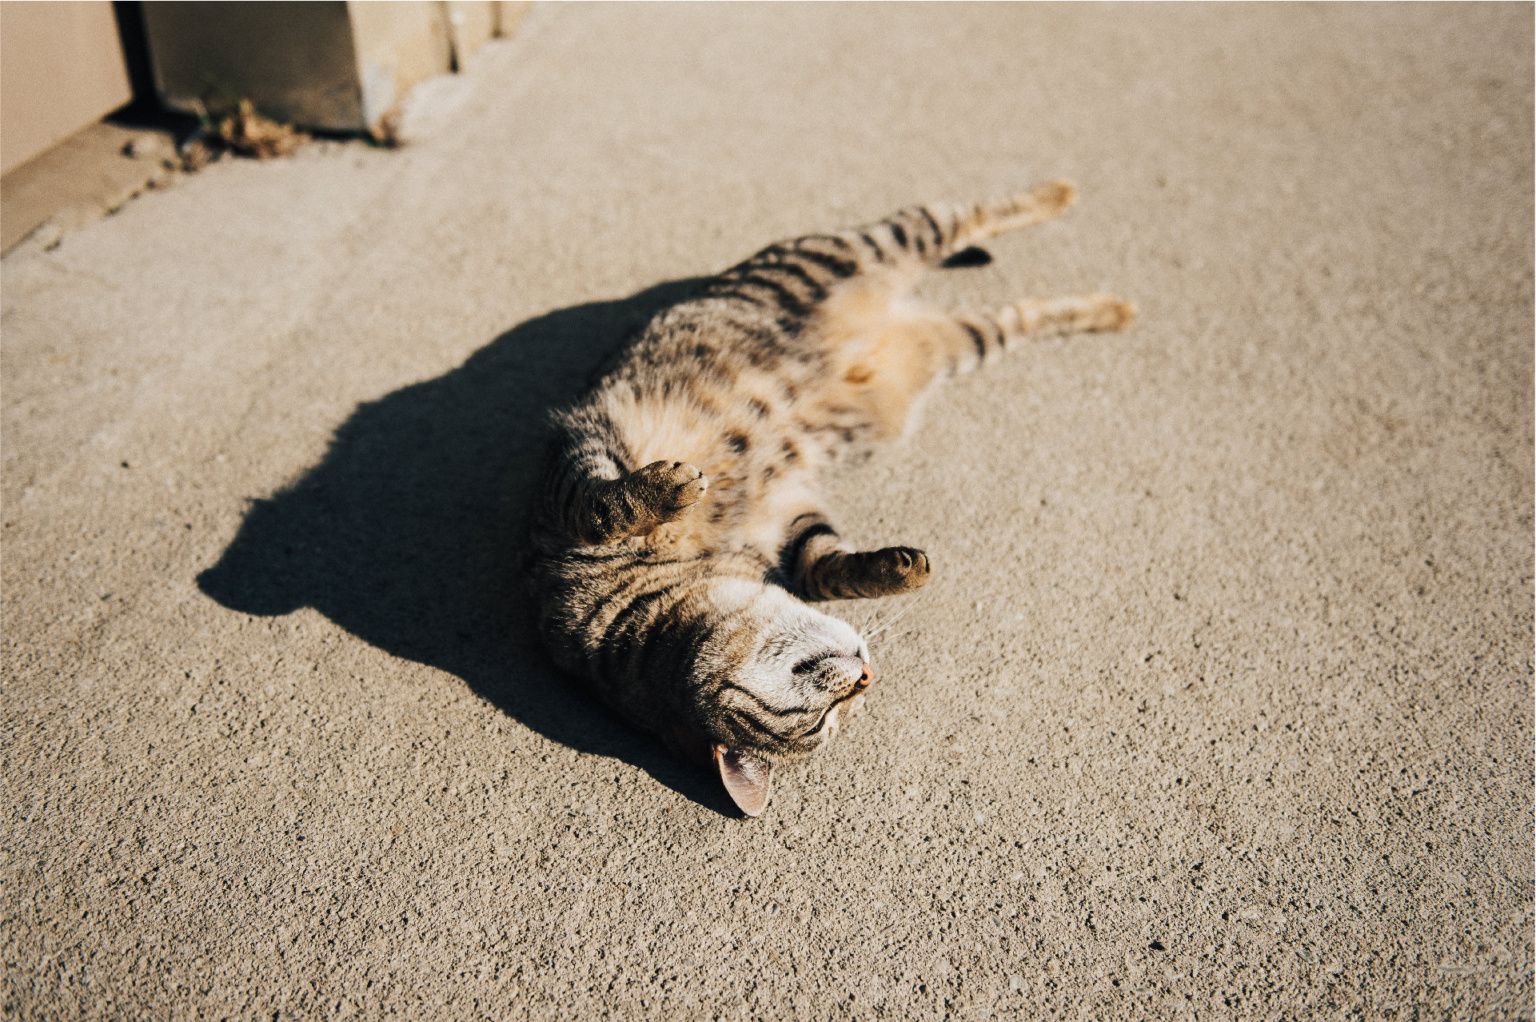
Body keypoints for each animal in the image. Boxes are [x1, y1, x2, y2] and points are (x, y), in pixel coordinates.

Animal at [527, 181, 1133, 816]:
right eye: (826, 719)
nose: (868, 676)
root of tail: (895, 314)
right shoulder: (790, 517)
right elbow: (828, 565)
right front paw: (896, 569)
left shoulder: (575, 471)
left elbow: (609, 504)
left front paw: (670, 486)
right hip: (962, 340)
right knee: (1020, 312)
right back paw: (1111, 309)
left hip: (873, 245)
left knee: (967, 214)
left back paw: (1058, 195)